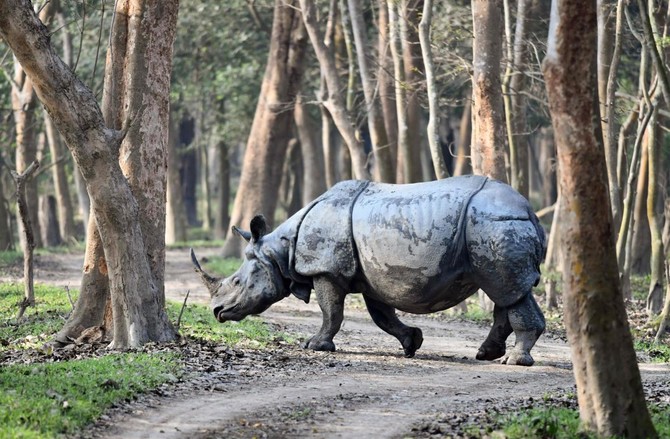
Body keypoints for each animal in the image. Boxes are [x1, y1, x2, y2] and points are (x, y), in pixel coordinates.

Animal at [192, 174, 548, 364]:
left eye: (237, 282)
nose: (217, 311)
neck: (280, 248)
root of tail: (530, 210)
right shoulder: (376, 275)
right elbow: (382, 316)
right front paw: (412, 343)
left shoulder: (326, 270)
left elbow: (331, 311)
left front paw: (315, 346)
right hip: (494, 228)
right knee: (506, 291)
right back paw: (486, 354)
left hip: (494, 225)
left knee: (506, 289)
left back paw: (513, 361)